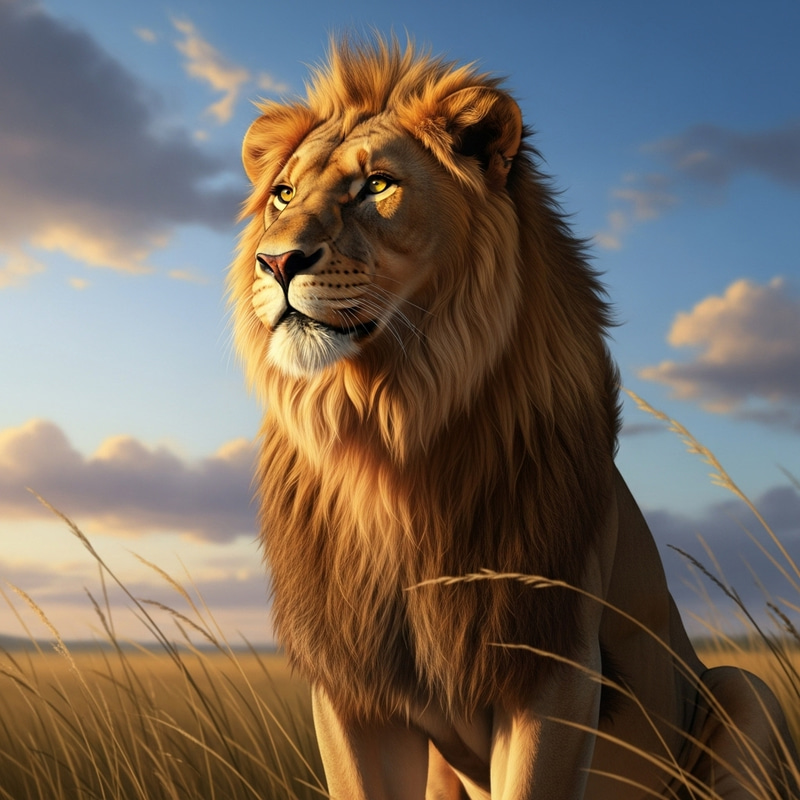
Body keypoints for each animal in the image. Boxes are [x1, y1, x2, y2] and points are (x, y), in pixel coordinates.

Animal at [228, 37, 798, 799]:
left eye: (376, 186)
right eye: (283, 195)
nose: (276, 260)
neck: (386, 433)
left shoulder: (553, 668)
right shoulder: (353, 687)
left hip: (743, 689)